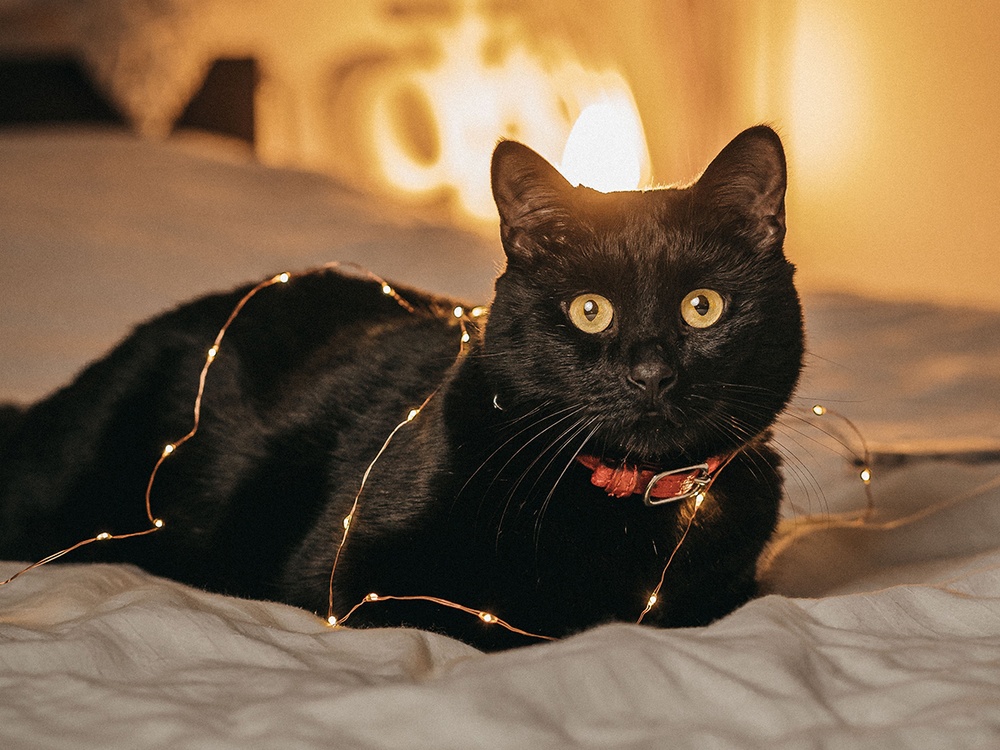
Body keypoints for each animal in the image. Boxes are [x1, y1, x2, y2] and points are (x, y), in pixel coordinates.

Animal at [0, 126, 800, 648]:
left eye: (703, 307)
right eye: (589, 310)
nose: (650, 372)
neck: (627, 501)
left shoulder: (728, 594)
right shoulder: (350, 585)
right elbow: (497, 625)